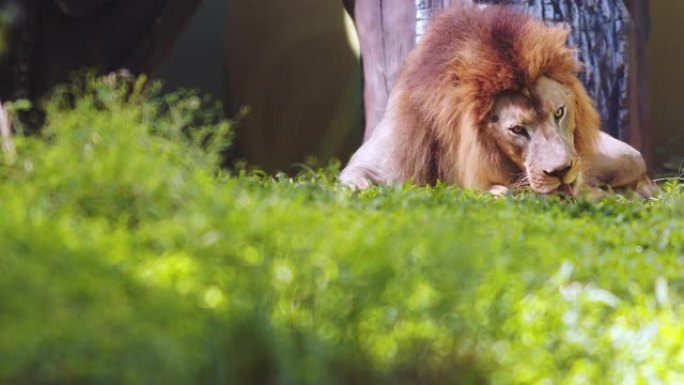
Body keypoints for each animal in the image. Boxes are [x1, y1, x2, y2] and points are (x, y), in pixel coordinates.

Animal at [340, 3, 656, 198]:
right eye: (517, 129)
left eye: (559, 113)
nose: (562, 171)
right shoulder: (373, 164)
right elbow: (359, 184)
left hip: (622, 155)